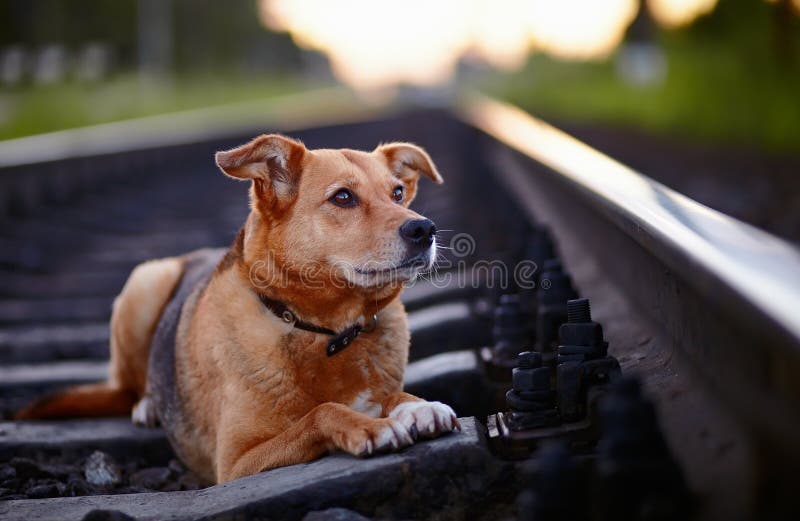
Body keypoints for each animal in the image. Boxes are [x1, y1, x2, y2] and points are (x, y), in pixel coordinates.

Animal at [15, 135, 460, 484]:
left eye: (398, 193)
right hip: (144, 284)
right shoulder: (236, 464)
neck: (325, 332)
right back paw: (147, 404)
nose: (424, 229)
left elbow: (388, 396)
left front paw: (417, 406)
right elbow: (323, 413)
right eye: (343, 197)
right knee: (127, 384)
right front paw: (369, 427)